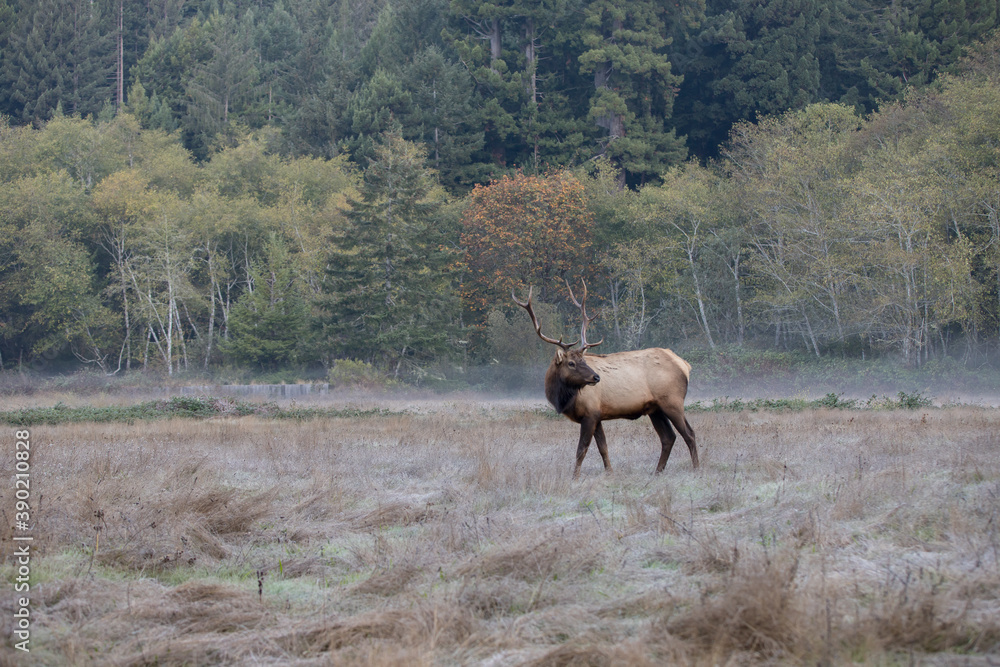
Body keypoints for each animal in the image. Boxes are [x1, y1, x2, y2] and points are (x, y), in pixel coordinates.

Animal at [512, 284, 700, 478]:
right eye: (571, 363)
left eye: (584, 360)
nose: (596, 377)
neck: (563, 398)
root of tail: (685, 365)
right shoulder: (597, 416)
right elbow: (603, 447)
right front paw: (609, 472)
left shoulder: (590, 413)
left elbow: (582, 450)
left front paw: (575, 477)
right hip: (655, 409)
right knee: (668, 437)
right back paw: (657, 472)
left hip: (672, 401)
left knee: (689, 434)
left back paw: (696, 469)